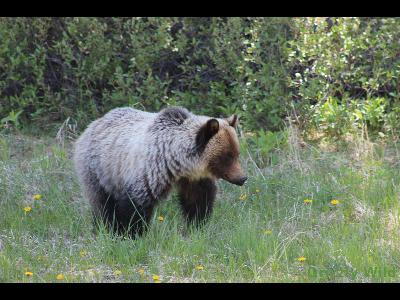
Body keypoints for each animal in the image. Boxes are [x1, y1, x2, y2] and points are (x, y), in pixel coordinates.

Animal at [72, 106, 247, 237]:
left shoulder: (195, 179)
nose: (242, 178)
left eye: (237, 153)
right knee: (102, 202)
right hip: (99, 169)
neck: (178, 163)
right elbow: (136, 206)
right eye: (227, 156)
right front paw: (132, 233)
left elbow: (198, 202)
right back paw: (104, 227)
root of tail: (93, 123)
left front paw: (197, 227)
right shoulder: (148, 173)